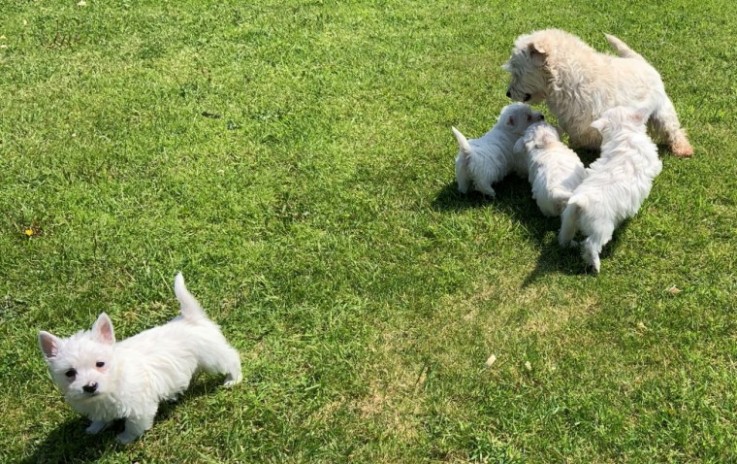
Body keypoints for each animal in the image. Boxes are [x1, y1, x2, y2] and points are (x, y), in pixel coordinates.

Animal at [38, 274, 242, 444]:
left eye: (100, 364)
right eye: (69, 373)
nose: (90, 386)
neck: (116, 378)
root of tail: (190, 318)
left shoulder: (139, 408)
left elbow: (133, 426)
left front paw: (124, 439)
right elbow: (100, 418)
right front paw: (94, 428)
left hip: (212, 356)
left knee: (232, 358)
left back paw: (233, 379)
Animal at [504, 30, 692, 159]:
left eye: (516, 72)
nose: (508, 93)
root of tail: (643, 63)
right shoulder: (572, 119)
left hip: (662, 111)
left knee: (673, 129)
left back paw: (683, 149)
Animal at [556, 106, 660, 272]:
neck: (624, 132)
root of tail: (581, 201)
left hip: (568, 219)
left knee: (564, 236)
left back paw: (571, 245)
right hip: (602, 228)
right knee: (590, 245)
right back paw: (595, 266)